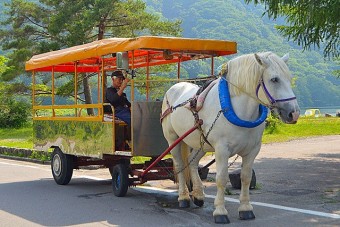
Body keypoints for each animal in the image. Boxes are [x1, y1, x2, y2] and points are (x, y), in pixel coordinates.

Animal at [161, 51, 298, 223]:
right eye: (274, 79)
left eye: (289, 78)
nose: (294, 113)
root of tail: (174, 88)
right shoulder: (221, 150)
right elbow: (221, 178)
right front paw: (220, 211)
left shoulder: (253, 150)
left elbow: (245, 177)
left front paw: (246, 208)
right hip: (173, 139)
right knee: (180, 165)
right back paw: (184, 197)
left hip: (200, 142)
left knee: (192, 163)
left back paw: (198, 195)